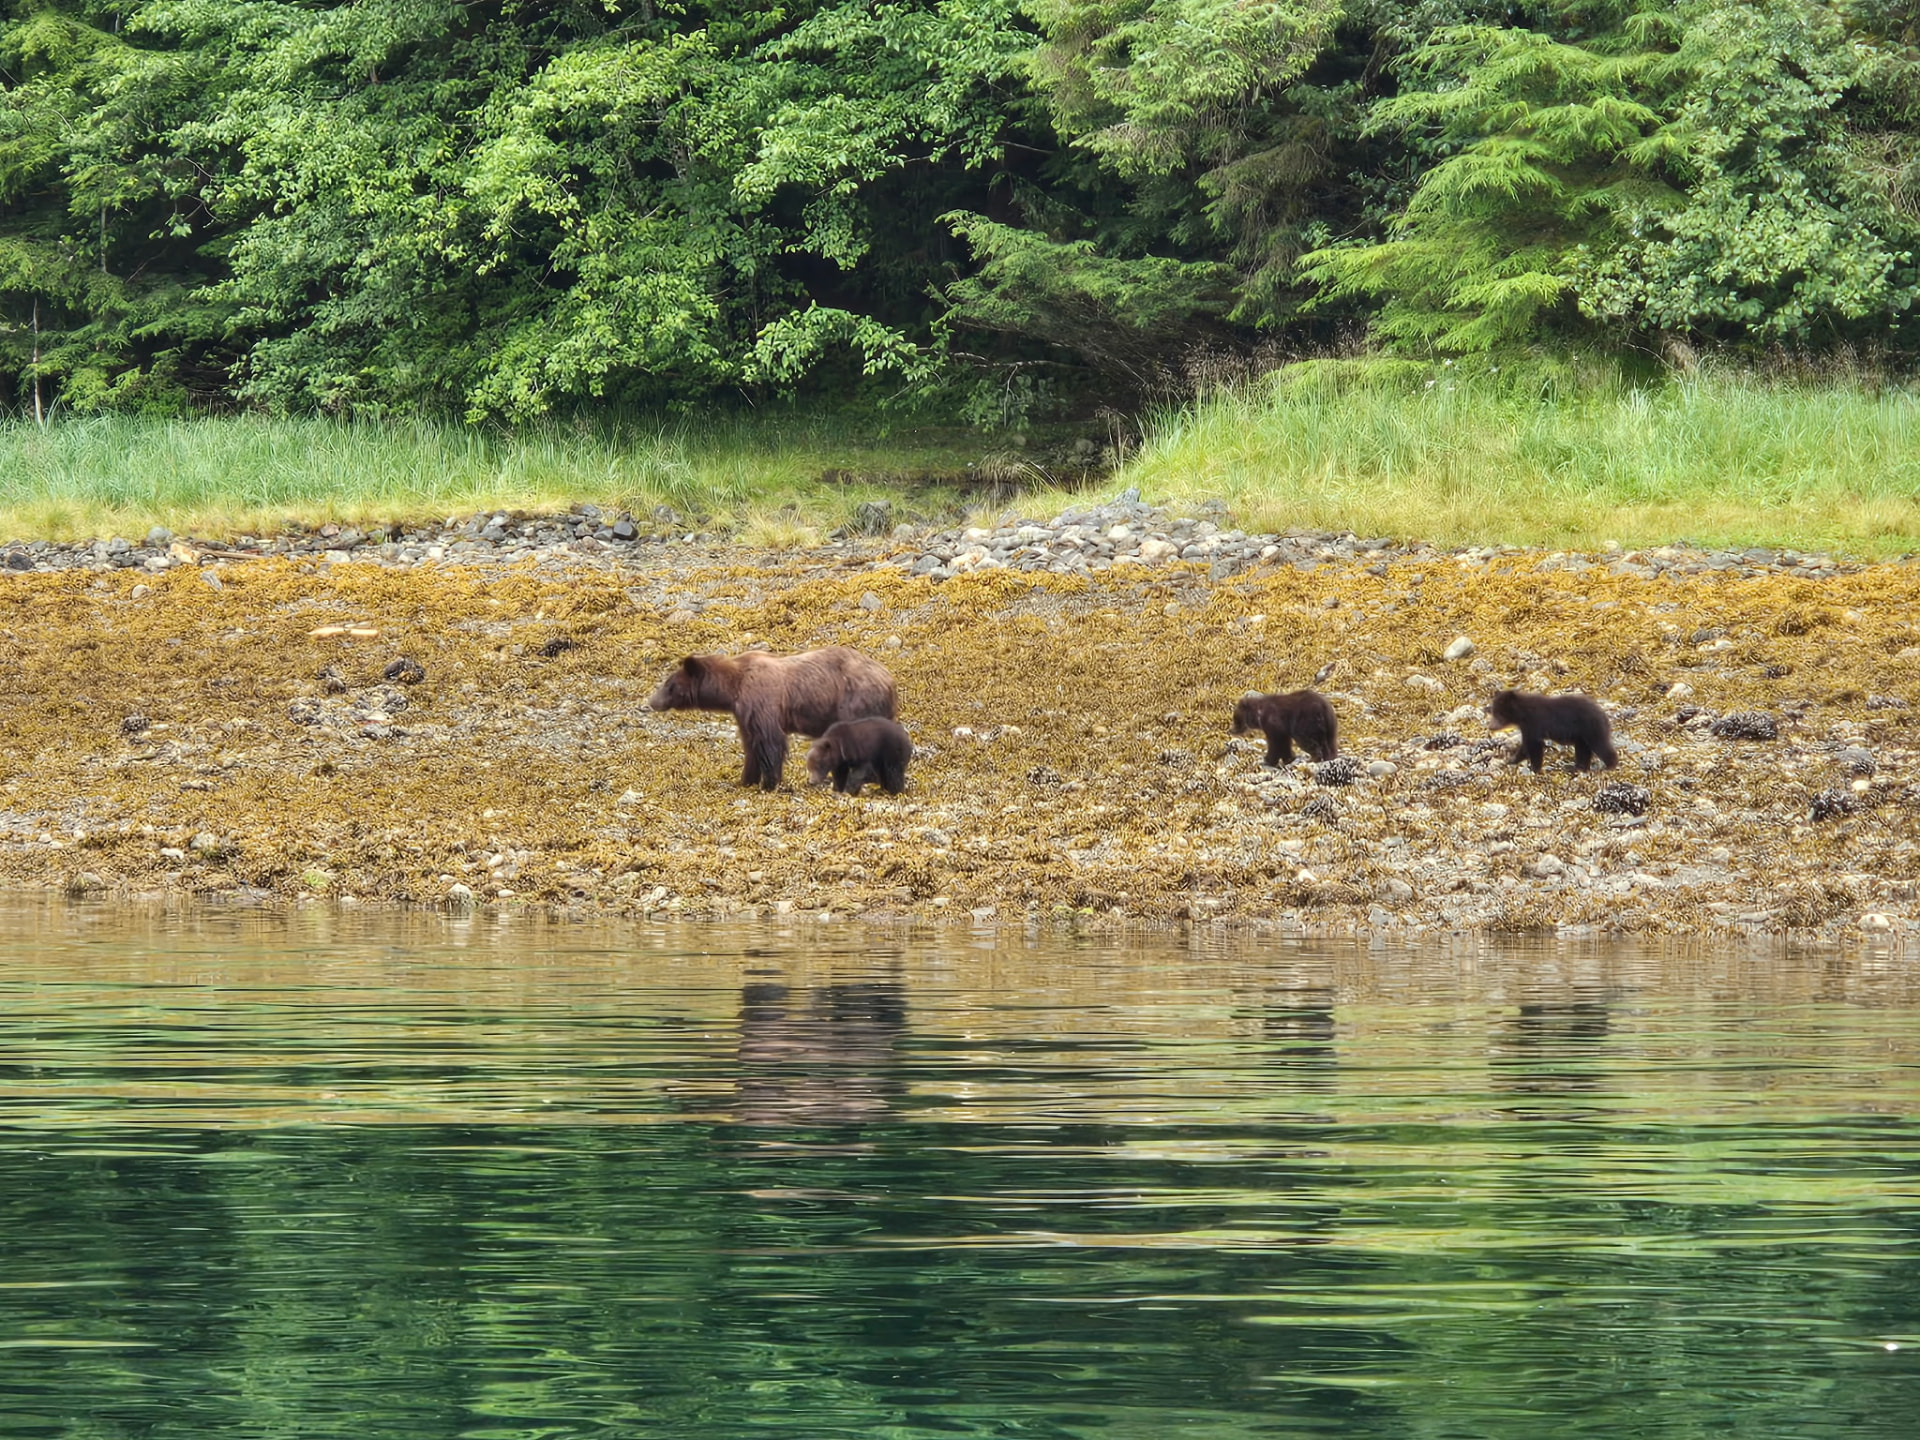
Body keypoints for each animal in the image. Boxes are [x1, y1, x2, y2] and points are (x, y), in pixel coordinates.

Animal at [647, 646, 897, 791]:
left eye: (669, 684)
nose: (651, 701)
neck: (733, 687)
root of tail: (888, 678)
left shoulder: (762, 700)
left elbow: (769, 742)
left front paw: (769, 782)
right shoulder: (744, 713)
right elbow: (750, 744)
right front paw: (745, 778)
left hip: (855, 702)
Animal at [1487, 689, 1618, 773]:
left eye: (1499, 713)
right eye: (1493, 711)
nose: (1491, 726)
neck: (1522, 714)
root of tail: (1603, 714)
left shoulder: (1534, 723)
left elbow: (1534, 745)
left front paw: (1534, 769)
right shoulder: (1526, 727)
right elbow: (1526, 745)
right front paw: (1510, 760)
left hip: (1591, 728)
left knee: (1600, 745)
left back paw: (1609, 766)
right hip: (1581, 736)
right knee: (1583, 750)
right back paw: (1575, 768)